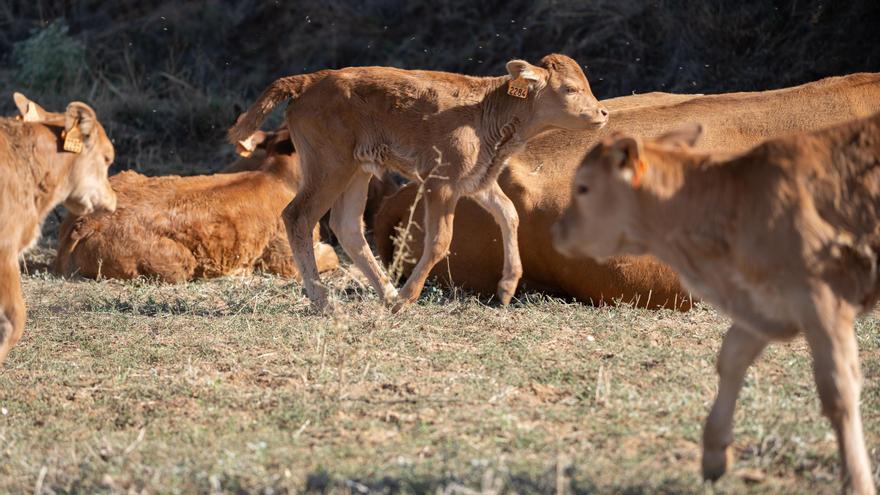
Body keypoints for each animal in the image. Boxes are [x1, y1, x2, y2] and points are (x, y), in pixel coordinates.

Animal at [230, 53, 608, 310]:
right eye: (570, 89)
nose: (603, 113)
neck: (487, 110)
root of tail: (309, 81)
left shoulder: (478, 181)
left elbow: (509, 213)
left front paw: (506, 288)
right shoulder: (440, 184)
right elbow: (440, 240)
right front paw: (408, 299)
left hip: (357, 170)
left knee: (347, 225)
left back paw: (385, 294)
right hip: (329, 168)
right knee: (299, 216)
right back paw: (327, 303)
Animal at [552, 113, 880, 495]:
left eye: (583, 187)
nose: (558, 231)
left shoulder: (822, 301)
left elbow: (838, 391)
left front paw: (857, 480)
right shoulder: (768, 302)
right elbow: (732, 355)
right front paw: (714, 453)